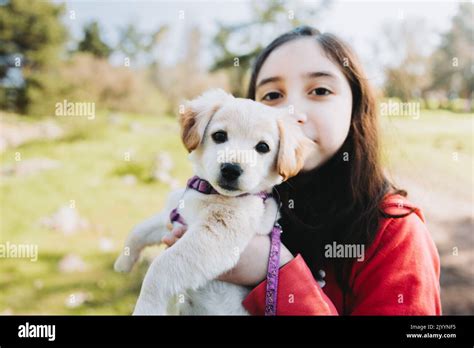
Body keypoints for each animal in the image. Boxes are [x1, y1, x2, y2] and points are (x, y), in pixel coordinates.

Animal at [113, 89, 316, 316]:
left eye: (263, 147)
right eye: (219, 136)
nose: (231, 169)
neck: (211, 193)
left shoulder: (216, 234)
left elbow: (160, 267)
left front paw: (146, 308)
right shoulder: (176, 215)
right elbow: (140, 230)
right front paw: (124, 261)